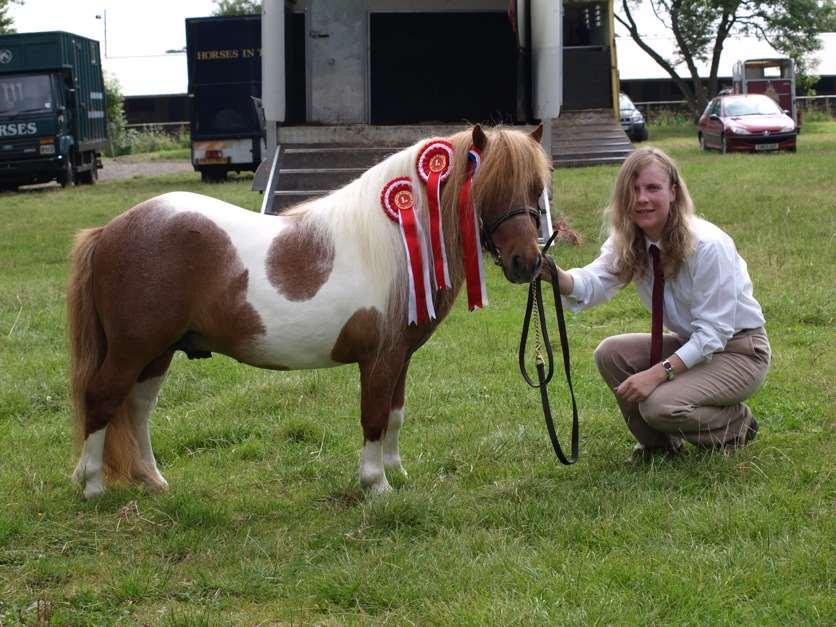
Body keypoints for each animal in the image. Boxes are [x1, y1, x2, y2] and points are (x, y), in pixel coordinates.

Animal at [68, 124, 552, 500]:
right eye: (489, 187)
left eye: (536, 188)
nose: (526, 263)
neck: (396, 241)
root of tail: (109, 230)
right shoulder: (379, 358)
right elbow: (374, 415)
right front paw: (376, 484)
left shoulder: (401, 357)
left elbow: (395, 413)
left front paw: (397, 472)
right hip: (132, 350)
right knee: (103, 399)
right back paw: (92, 485)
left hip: (158, 352)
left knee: (136, 409)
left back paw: (152, 480)